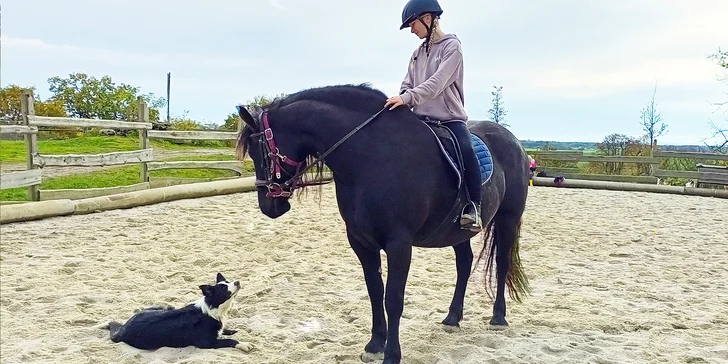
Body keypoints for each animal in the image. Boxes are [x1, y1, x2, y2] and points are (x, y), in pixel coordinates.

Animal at [236, 84, 532, 362]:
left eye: (259, 151)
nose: (269, 207)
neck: (370, 155)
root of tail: (514, 141)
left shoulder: (399, 244)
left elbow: (393, 299)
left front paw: (392, 354)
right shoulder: (361, 242)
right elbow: (375, 292)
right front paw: (375, 344)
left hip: (507, 218)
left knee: (502, 263)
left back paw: (498, 317)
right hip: (456, 231)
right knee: (464, 264)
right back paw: (452, 318)